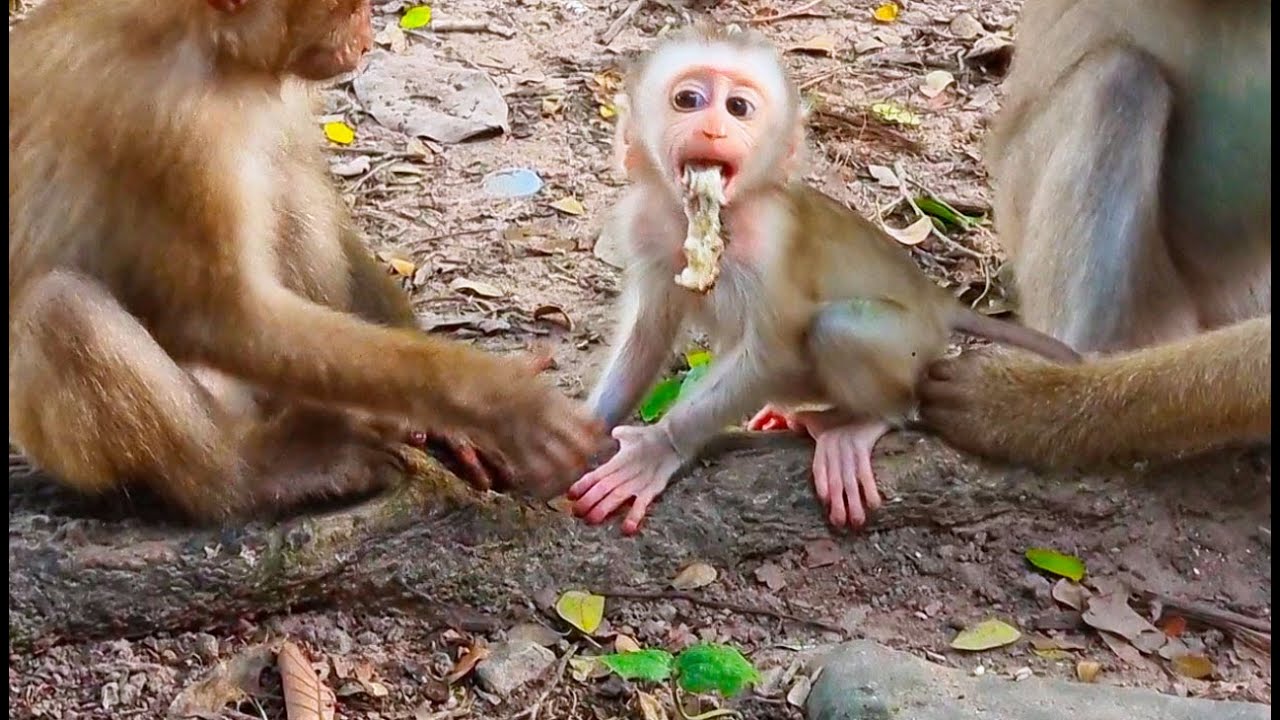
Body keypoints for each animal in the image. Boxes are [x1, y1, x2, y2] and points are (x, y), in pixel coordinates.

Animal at [8, 0, 601, 523]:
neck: (214, 49)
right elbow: (218, 319)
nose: (365, 38)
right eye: (346, 8)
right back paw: (245, 477)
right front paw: (499, 401)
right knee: (61, 307)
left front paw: (447, 425)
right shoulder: (171, 125)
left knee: (285, 178)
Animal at [564, 26, 1081, 536]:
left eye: (739, 108)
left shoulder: (771, 243)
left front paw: (661, 446)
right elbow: (648, 334)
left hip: (913, 342)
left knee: (841, 329)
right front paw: (580, 428)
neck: (714, 216)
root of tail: (934, 299)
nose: (712, 127)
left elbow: (773, 351)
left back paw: (863, 423)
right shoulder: (645, 223)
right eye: (688, 99)